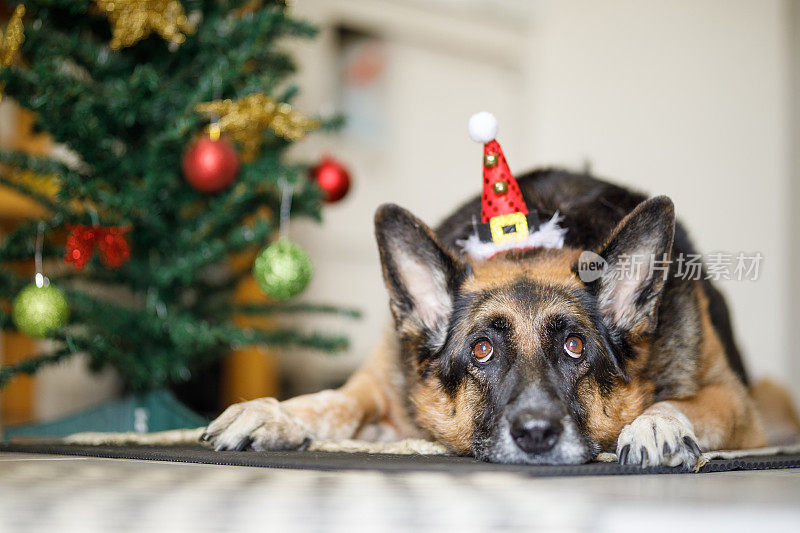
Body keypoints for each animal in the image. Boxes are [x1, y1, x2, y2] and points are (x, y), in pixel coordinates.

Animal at [202, 168, 788, 464]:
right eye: (482, 349)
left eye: (575, 346)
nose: (536, 434)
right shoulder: (379, 388)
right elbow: (336, 402)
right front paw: (278, 413)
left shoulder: (735, 403)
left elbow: (681, 404)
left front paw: (655, 423)